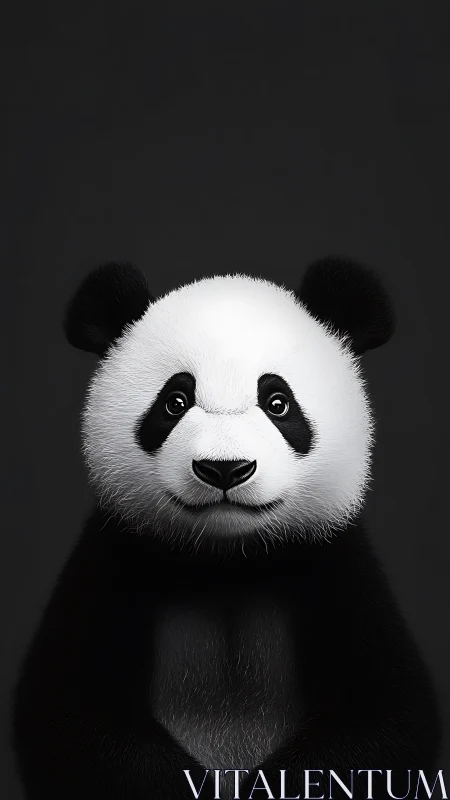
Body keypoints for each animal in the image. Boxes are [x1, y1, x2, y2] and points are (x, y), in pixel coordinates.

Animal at [13, 257, 441, 800]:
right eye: (174, 401)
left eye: (278, 402)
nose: (224, 469)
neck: (226, 562)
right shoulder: (115, 555)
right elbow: (71, 718)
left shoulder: (335, 563)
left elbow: (382, 722)